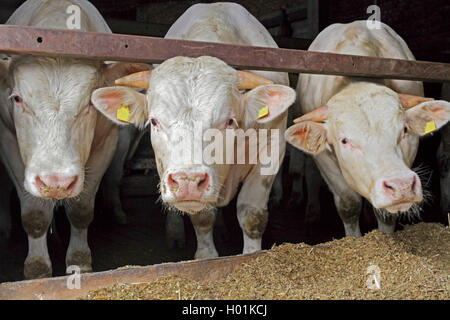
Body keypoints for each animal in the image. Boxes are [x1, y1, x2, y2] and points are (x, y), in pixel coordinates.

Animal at [0, 0, 148, 278]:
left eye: (90, 103)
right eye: (17, 98)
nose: (56, 182)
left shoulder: (106, 143)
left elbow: (81, 210)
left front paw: (79, 261)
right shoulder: (8, 140)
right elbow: (35, 212)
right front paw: (37, 268)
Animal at [91, 1, 296, 258]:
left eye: (229, 121)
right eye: (154, 121)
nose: (188, 181)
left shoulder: (272, 148)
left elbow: (252, 215)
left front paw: (250, 253)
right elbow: (203, 218)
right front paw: (205, 256)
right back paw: (176, 233)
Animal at [286, 20, 450, 235]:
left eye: (404, 131)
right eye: (344, 140)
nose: (401, 186)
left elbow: (385, 214)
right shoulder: (324, 159)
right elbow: (349, 204)